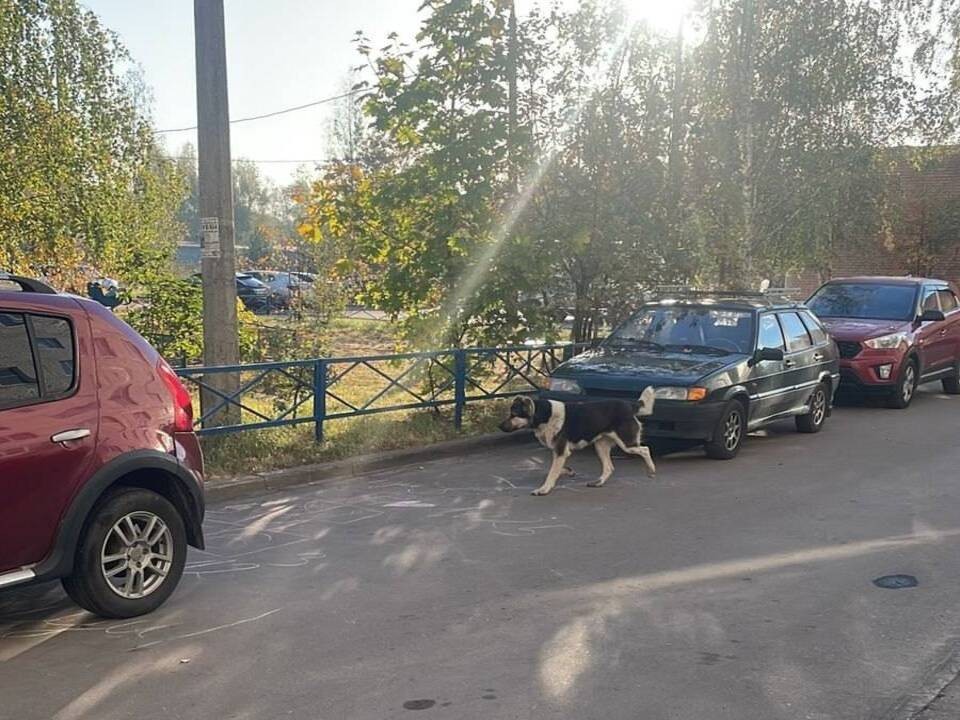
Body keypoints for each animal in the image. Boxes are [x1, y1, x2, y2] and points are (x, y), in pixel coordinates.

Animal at [498, 388, 656, 496]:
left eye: (514, 414)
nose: (499, 427)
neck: (544, 415)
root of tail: (630, 405)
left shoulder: (561, 451)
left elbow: (551, 472)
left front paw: (544, 489)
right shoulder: (560, 452)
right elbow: (554, 469)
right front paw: (568, 471)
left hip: (626, 443)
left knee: (645, 449)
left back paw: (651, 470)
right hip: (600, 445)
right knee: (609, 467)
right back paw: (598, 482)